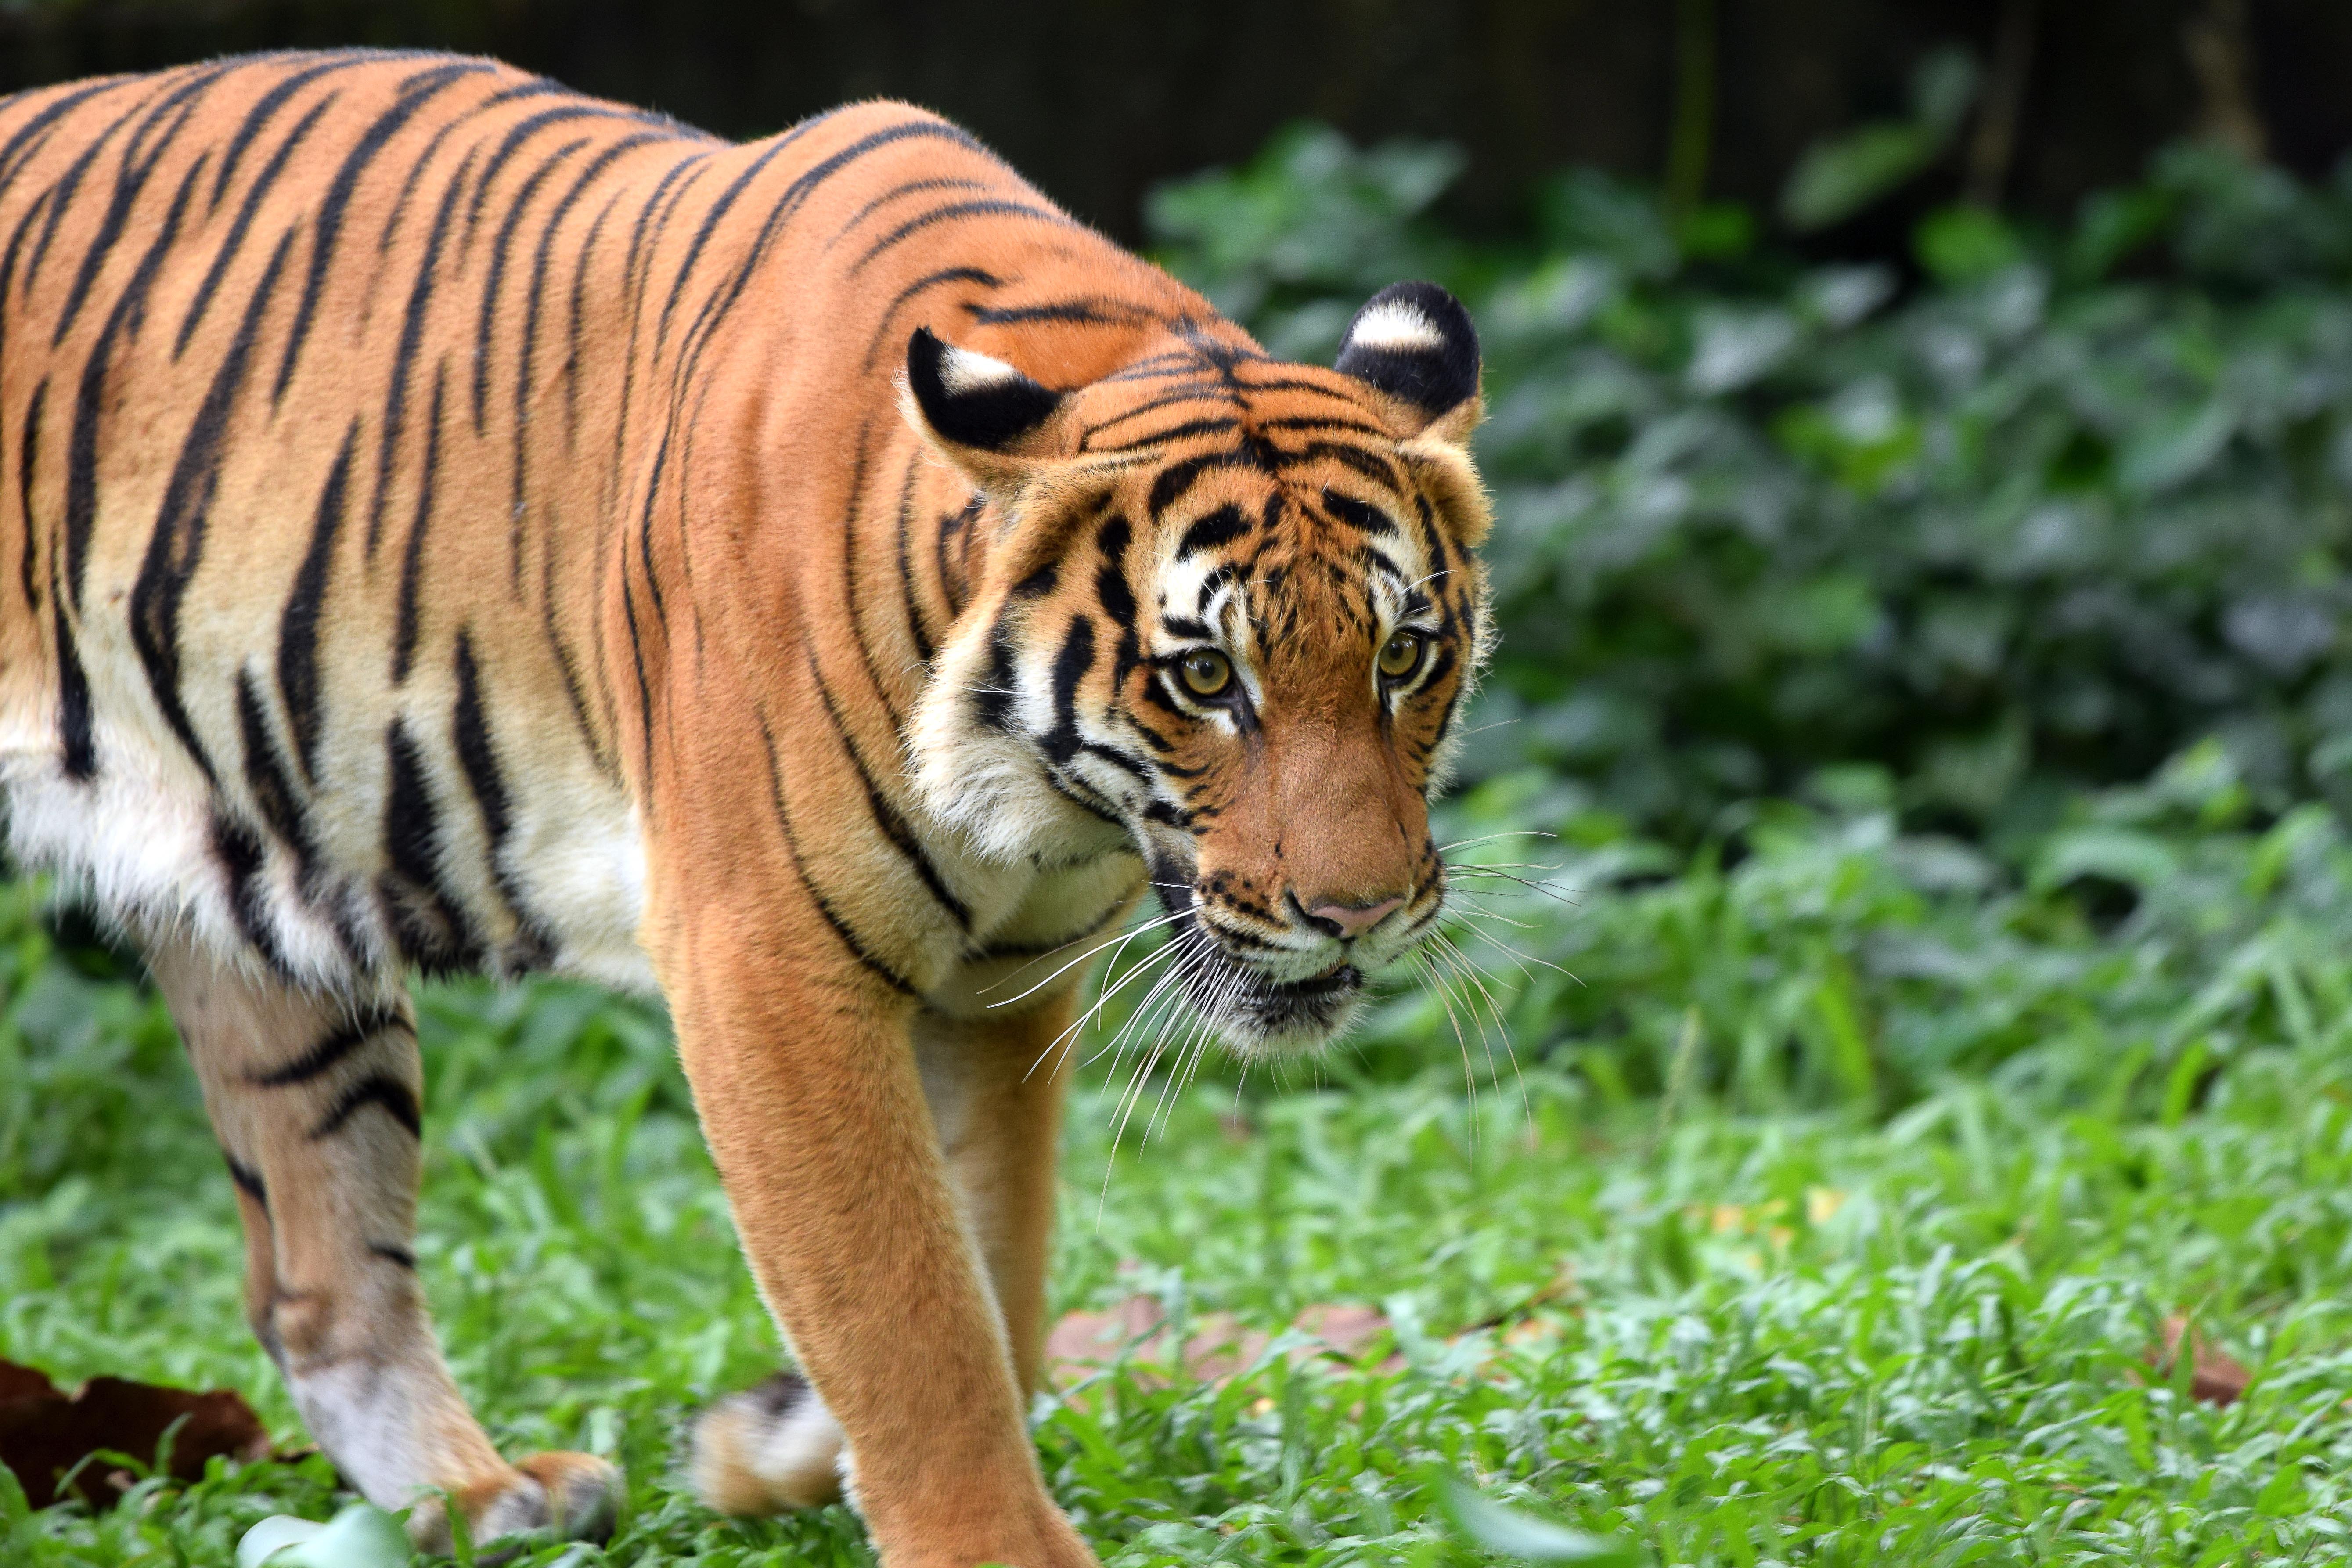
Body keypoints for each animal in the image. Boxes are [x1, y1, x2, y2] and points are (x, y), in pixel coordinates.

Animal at [0, 49, 1486, 1568]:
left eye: (1402, 655)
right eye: (1204, 676)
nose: (1359, 915)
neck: (1042, 803)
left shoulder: (999, 987)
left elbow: (991, 1271)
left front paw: (773, 1443)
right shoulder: (765, 961)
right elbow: (906, 1302)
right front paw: (980, 1536)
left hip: (267, 924)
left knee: (314, 1275)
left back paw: (479, 1498)